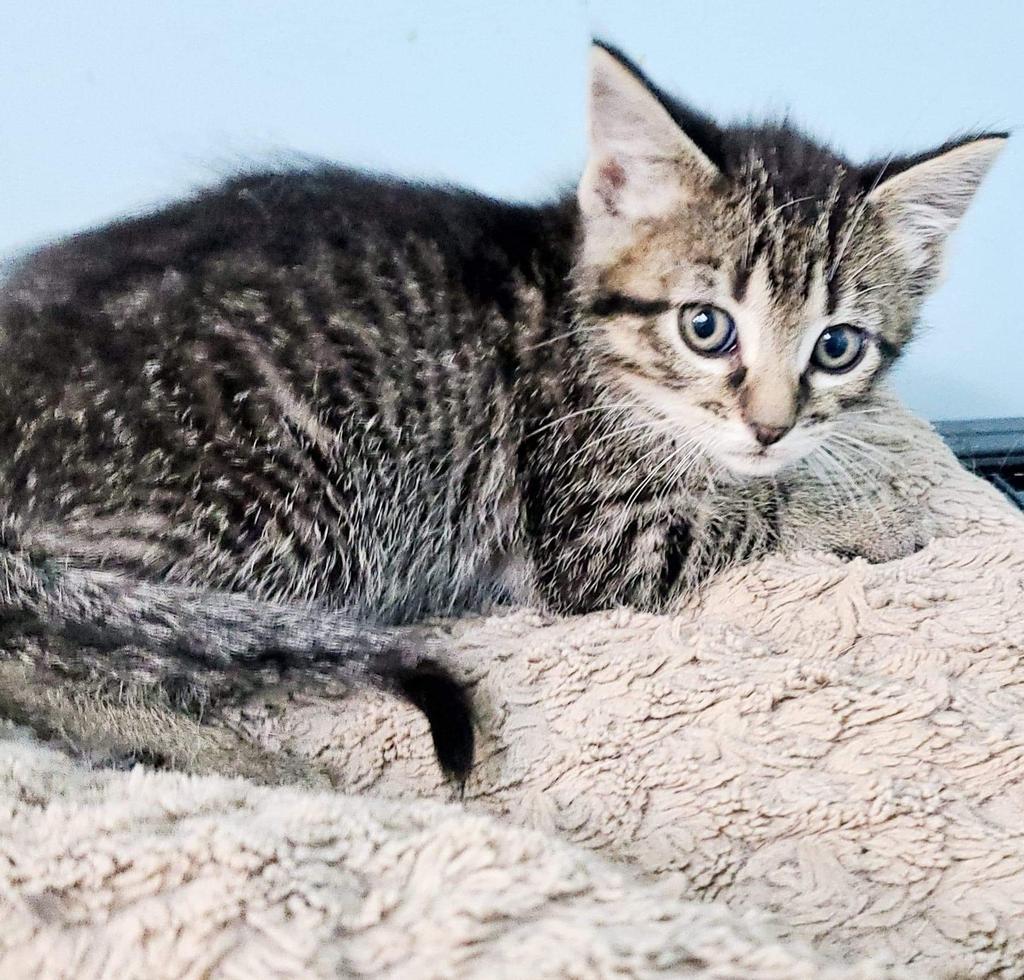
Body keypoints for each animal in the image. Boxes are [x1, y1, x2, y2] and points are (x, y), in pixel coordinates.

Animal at [0, 44, 1007, 778]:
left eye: (836, 346)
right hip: (292, 501)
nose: (770, 425)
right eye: (706, 327)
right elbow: (756, 510)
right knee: (45, 649)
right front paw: (875, 511)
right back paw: (224, 755)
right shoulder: (594, 541)